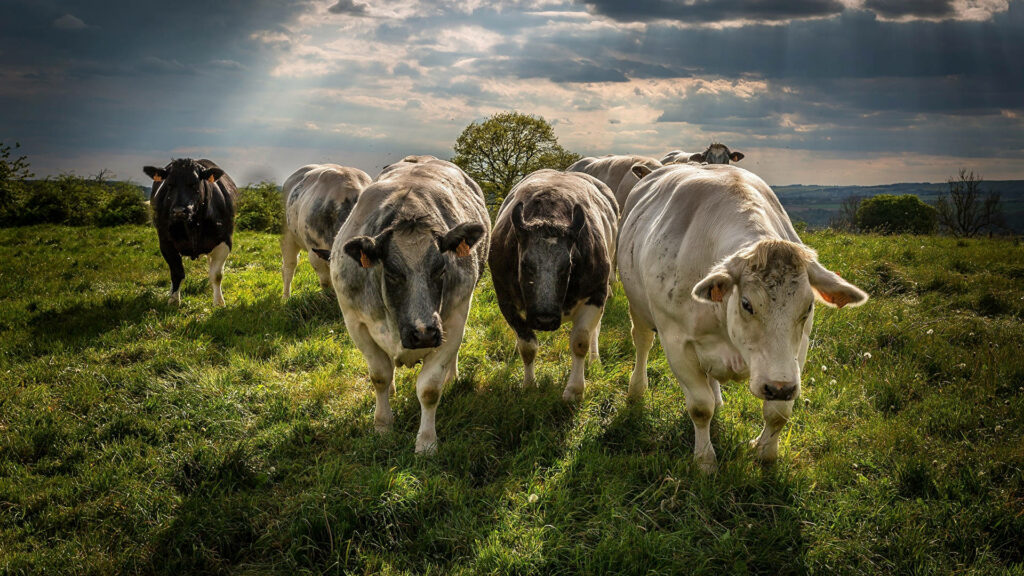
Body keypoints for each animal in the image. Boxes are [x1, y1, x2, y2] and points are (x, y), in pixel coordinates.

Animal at [143, 158, 236, 306]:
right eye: (169, 184)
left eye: (194, 184)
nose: (179, 211)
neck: (193, 225)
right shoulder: (165, 243)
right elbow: (177, 273)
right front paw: (174, 301)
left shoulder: (225, 241)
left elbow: (217, 275)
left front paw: (219, 303)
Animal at [317, 155, 490, 454]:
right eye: (393, 273)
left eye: (440, 270)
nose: (423, 333)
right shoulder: (355, 322)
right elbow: (380, 376)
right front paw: (382, 426)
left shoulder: (453, 320)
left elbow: (429, 389)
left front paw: (426, 442)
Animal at [489, 170, 618, 402]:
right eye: (525, 263)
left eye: (568, 264)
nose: (545, 319)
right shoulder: (505, 300)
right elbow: (527, 345)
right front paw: (529, 384)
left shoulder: (596, 294)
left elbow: (580, 341)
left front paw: (575, 389)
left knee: (594, 331)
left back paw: (595, 359)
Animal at [617, 163, 867, 473]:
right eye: (747, 304)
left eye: (808, 307)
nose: (778, 387)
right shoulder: (676, 342)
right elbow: (700, 407)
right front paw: (705, 461)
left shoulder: (796, 352)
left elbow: (778, 413)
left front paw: (765, 453)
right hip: (638, 310)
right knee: (642, 344)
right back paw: (637, 390)